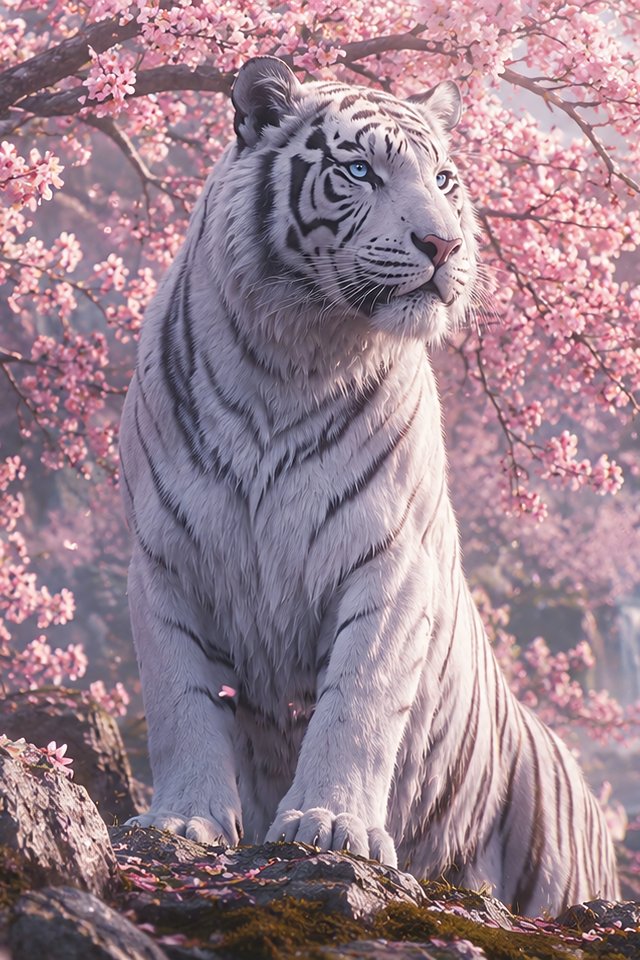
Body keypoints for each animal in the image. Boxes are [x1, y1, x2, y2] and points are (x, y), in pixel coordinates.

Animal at [119, 55, 619, 917]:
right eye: (359, 171)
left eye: (445, 178)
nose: (444, 243)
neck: (291, 354)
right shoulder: (163, 560)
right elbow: (180, 699)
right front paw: (183, 821)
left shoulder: (390, 560)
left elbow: (358, 701)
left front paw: (329, 825)